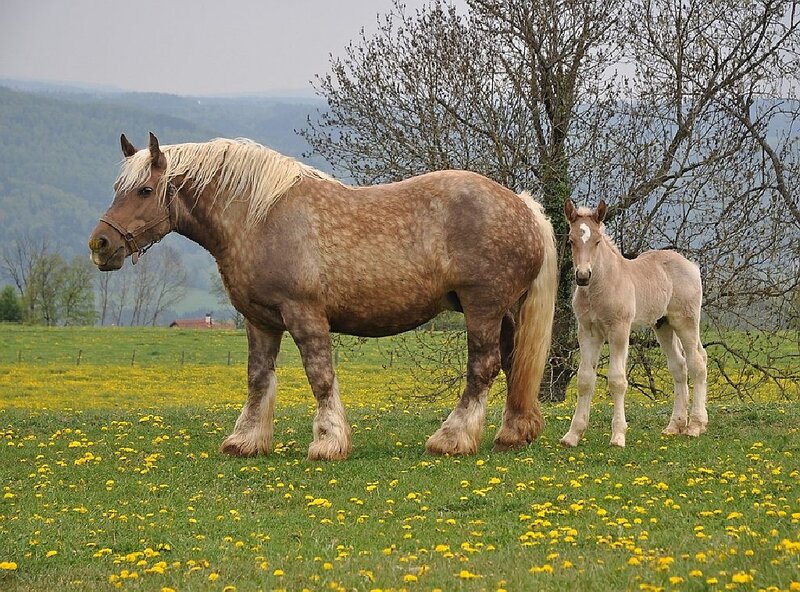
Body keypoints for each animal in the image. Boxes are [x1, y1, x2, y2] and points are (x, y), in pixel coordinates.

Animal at [88, 133, 558, 460]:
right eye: (116, 188)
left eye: (145, 191)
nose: (100, 245)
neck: (259, 218)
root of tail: (523, 206)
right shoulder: (260, 321)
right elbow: (258, 378)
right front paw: (246, 440)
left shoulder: (305, 316)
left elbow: (321, 377)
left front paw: (329, 442)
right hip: (503, 311)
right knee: (513, 363)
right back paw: (512, 433)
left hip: (482, 307)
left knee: (483, 367)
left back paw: (452, 438)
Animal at [559, 199, 708, 448]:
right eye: (570, 240)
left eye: (597, 241)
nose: (582, 276)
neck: (603, 285)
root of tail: (692, 265)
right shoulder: (587, 332)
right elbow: (585, 380)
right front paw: (572, 435)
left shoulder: (619, 329)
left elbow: (617, 380)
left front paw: (618, 436)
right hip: (663, 324)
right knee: (679, 366)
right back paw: (674, 426)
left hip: (685, 321)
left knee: (697, 362)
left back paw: (695, 426)